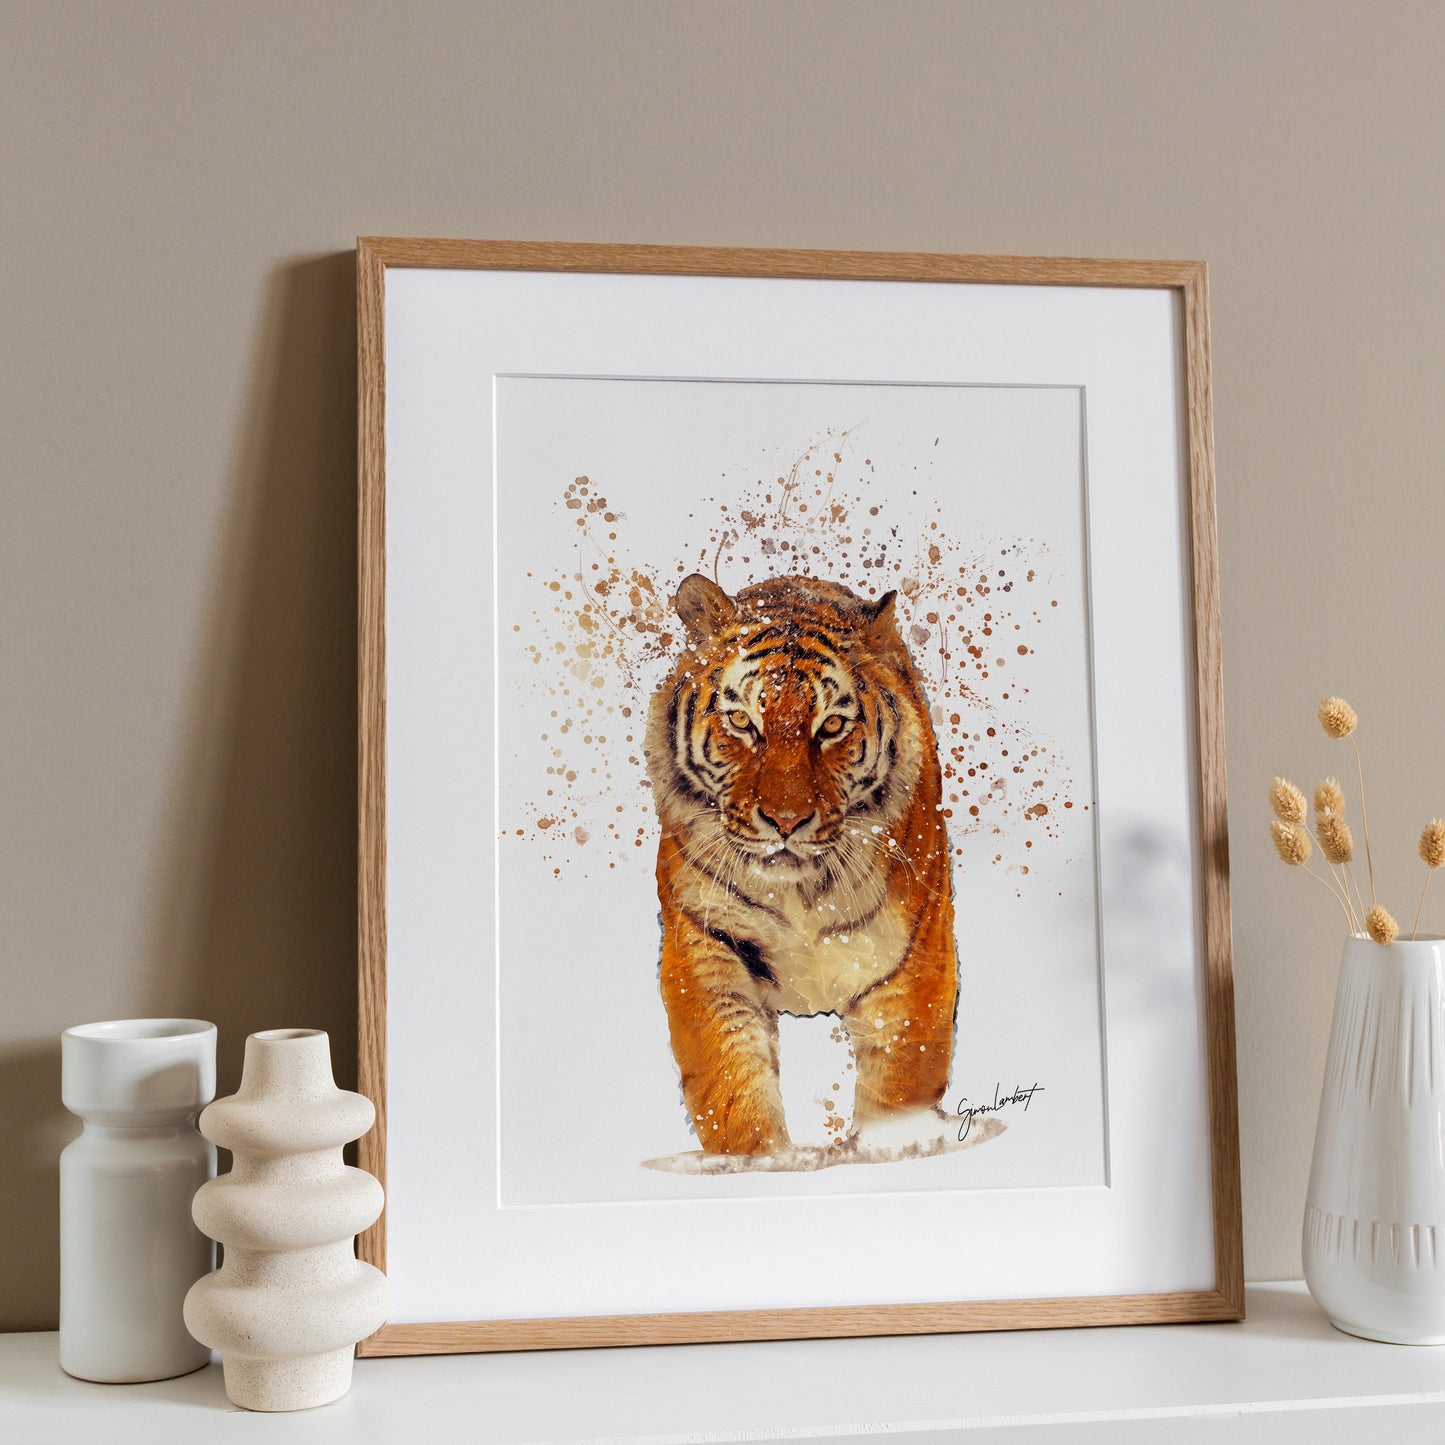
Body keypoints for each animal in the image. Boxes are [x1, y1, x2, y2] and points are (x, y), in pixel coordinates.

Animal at [643, 572, 959, 1156]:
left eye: (831, 725)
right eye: (742, 720)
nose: (785, 820)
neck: (799, 894)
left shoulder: (914, 955)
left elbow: (900, 1090)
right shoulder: (704, 944)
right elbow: (731, 1092)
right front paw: (761, 1159)